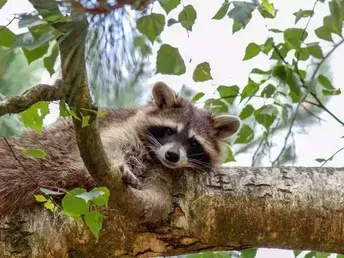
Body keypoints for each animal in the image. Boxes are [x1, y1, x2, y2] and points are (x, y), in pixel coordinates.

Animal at [0, 81, 242, 219]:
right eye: (168, 130)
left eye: (193, 143)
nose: (172, 156)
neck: (153, 155)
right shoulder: (112, 131)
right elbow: (107, 148)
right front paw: (120, 166)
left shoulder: (162, 170)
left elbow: (159, 200)